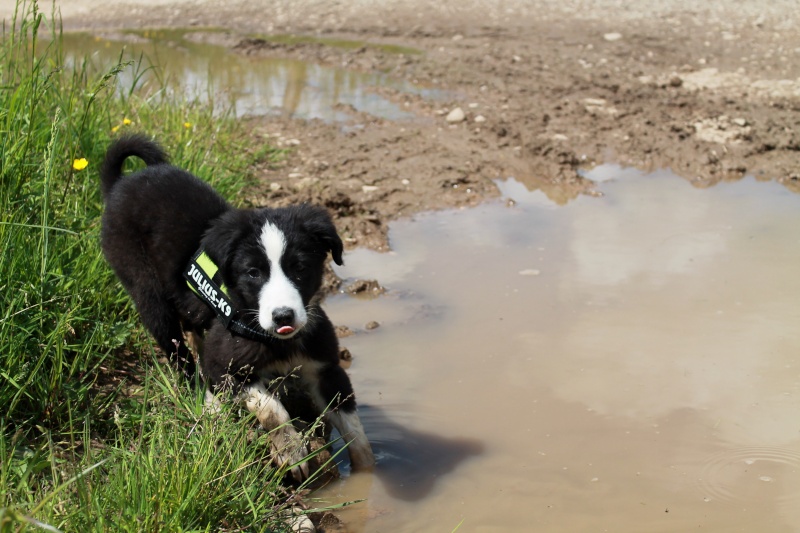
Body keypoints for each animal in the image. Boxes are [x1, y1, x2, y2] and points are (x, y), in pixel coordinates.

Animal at [100, 135, 376, 476]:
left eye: (299, 268)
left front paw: (370, 475)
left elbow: (354, 428)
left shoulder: (326, 367)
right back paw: (202, 398)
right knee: (177, 351)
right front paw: (291, 452)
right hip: (144, 288)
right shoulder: (225, 367)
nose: (283, 316)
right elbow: (270, 407)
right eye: (253, 273)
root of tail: (122, 182)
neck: (276, 340)